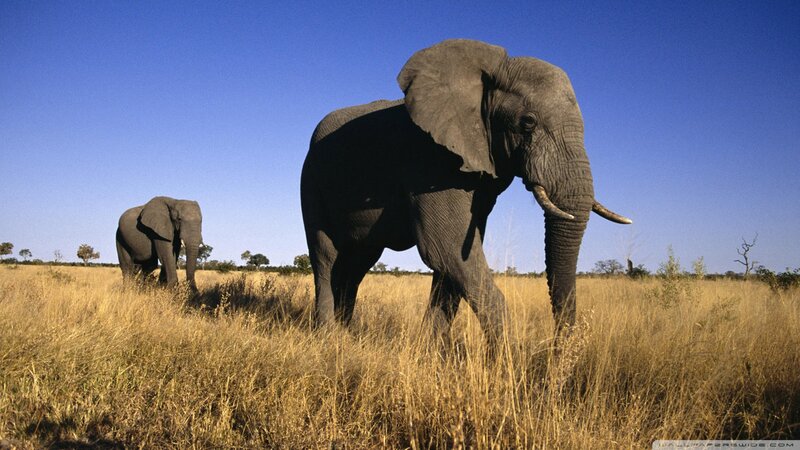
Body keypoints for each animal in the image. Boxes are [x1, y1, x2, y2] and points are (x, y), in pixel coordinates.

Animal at [301, 39, 631, 347]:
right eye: (527, 122)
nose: (555, 348)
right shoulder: (430, 159)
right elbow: (445, 249)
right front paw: (508, 360)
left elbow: (454, 259)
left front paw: (432, 352)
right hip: (311, 180)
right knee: (326, 256)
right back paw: (329, 337)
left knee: (358, 261)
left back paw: (347, 333)